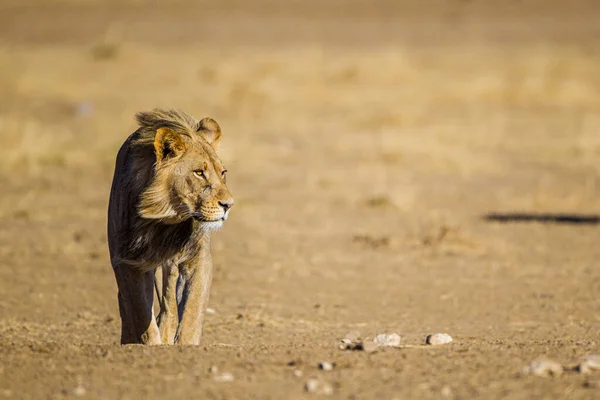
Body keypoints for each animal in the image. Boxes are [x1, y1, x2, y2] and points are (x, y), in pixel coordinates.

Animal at [106, 108, 233, 344]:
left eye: (223, 173)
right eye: (199, 172)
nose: (229, 205)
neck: (167, 221)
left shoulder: (198, 258)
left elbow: (192, 311)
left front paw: (184, 344)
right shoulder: (127, 261)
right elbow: (139, 314)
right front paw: (149, 344)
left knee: (170, 306)